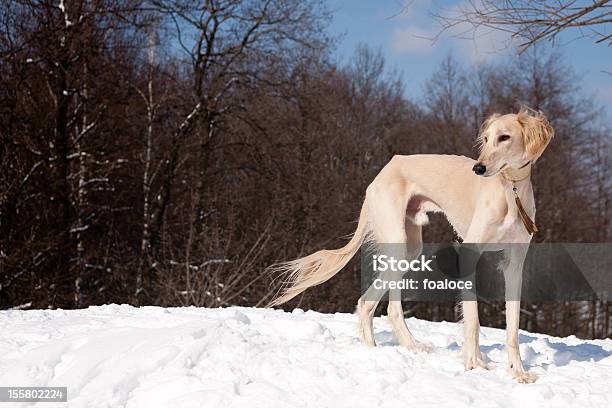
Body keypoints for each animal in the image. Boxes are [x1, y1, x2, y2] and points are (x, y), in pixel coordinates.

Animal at [268, 106, 556, 382]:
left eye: (504, 137)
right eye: (486, 139)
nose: (479, 168)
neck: (511, 191)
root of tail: (383, 171)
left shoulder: (515, 265)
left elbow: (513, 328)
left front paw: (518, 372)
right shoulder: (469, 252)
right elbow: (473, 319)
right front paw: (474, 364)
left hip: (409, 249)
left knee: (370, 302)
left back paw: (392, 347)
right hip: (397, 241)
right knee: (386, 305)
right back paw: (397, 349)